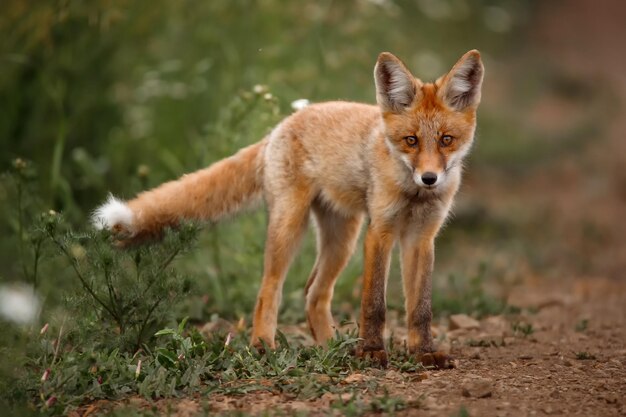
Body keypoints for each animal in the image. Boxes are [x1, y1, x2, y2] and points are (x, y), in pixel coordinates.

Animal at [91, 49, 482, 368]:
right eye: (411, 141)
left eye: (446, 140)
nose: (429, 179)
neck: (412, 195)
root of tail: (279, 126)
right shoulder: (381, 232)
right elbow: (374, 304)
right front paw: (372, 352)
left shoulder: (422, 238)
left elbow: (421, 308)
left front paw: (423, 352)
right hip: (290, 227)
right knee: (269, 289)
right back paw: (264, 345)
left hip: (343, 238)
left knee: (314, 294)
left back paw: (333, 349)